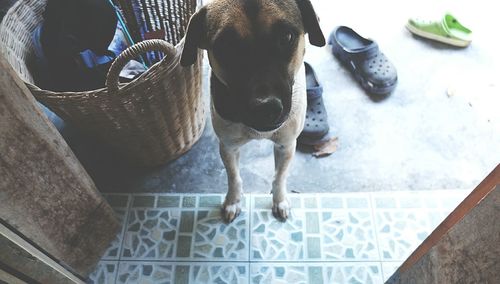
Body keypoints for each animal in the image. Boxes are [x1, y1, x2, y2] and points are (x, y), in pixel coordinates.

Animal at [182, 0, 326, 222]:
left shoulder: (286, 145)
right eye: (226, 47)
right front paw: (233, 201)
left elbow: (279, 176)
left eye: (286, 37)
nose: (266, 107)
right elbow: (234, 177)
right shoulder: (228, 146)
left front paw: (279, 199)